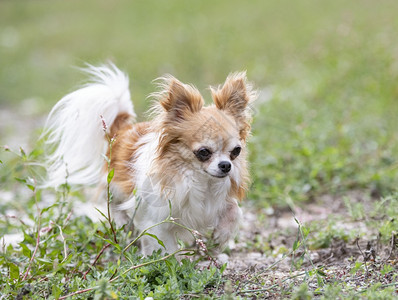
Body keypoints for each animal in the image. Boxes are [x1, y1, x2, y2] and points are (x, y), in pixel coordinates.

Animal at [43, 63, 255, 255]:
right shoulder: (157, 221)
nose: (226, 165)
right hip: (115, 187)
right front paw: (172, 266)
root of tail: (121, 129)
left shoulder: (216, 203)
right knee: (113, 205)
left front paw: (221, 237)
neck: (199, 180)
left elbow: (235, 210)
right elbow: (167, 248)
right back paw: (123, 224)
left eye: (236, 151)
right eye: (204, 152)